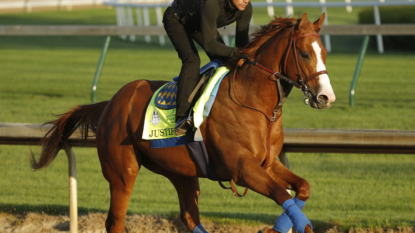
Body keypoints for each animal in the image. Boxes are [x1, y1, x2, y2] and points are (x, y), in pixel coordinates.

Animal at [30, 12, 336, 233]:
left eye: (324, 52)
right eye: (305, 54)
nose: (326, 97)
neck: (255, 103)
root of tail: (110, 104)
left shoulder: (269, 164)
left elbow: (302, 188)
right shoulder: (241, 168)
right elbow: (281, 194)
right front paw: (292, 226)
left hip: (181, 172)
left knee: (189, 217)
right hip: (122, 172)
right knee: (115, 221)